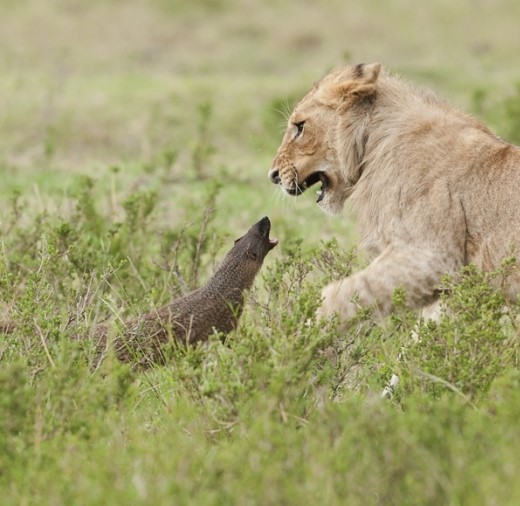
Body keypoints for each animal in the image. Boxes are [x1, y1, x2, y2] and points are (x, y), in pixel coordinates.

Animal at [268, 62, 520, 324]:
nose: (273, 175)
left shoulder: (431, 257)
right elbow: (428, 326)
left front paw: (301, 331)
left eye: (300, 127)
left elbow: (341, 295)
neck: (373, 143)